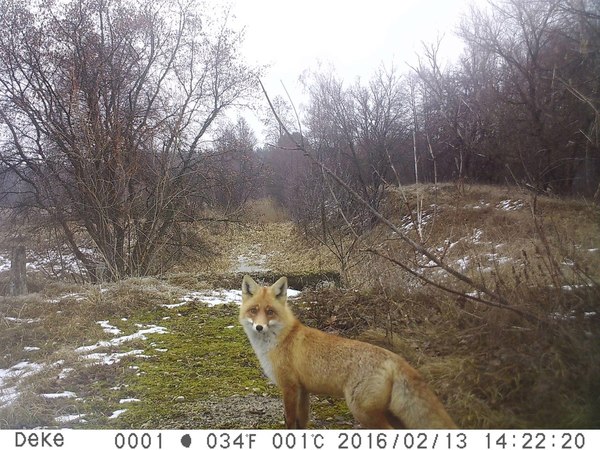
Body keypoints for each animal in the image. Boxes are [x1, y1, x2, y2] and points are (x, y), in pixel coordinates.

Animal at [239, 274, 454, 428]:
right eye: (254, 310)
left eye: (270, 312)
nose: (259, 327)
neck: (281, 339)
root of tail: (394, 357)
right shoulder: (303, 389)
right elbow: (302, 423)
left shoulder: (289, 387)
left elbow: (290, 422)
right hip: (388, 413)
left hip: (362, 412)